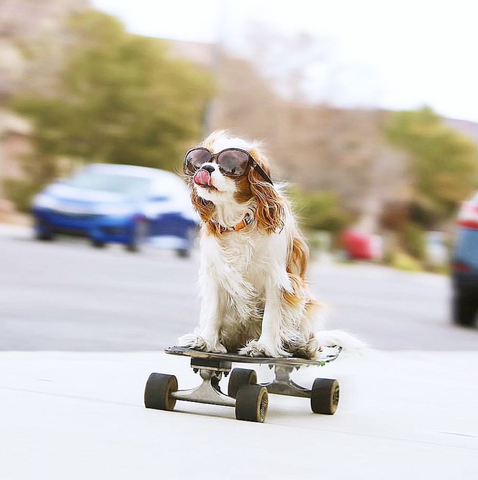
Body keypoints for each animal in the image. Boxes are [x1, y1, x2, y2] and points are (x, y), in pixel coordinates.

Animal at [178, 129, 362, 358]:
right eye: (199, 161)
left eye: (231, 165)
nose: (205, 168)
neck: (238, 221)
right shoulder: (217, 275)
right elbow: (213, 313)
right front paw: (207, 341)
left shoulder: (276, 279)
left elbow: (272, 318)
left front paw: (264, 347)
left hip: (305, 307)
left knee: (310, 339)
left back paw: (303, 346)